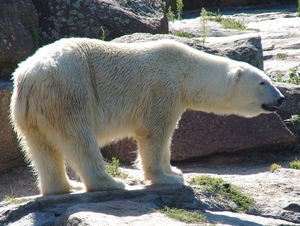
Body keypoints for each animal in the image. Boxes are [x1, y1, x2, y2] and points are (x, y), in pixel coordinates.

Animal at [10, 38, 284, 195]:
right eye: (263, 81)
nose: (281, 99)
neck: (185, 69)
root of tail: (28, 76)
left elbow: (167, 136)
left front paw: (175, 172)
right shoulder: (162, 88)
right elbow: (154, 133)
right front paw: (165, 179)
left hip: (30, 112)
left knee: (41, 149)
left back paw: (63, 188)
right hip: (70, 91)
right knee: (80, 141)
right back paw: (109, 183)